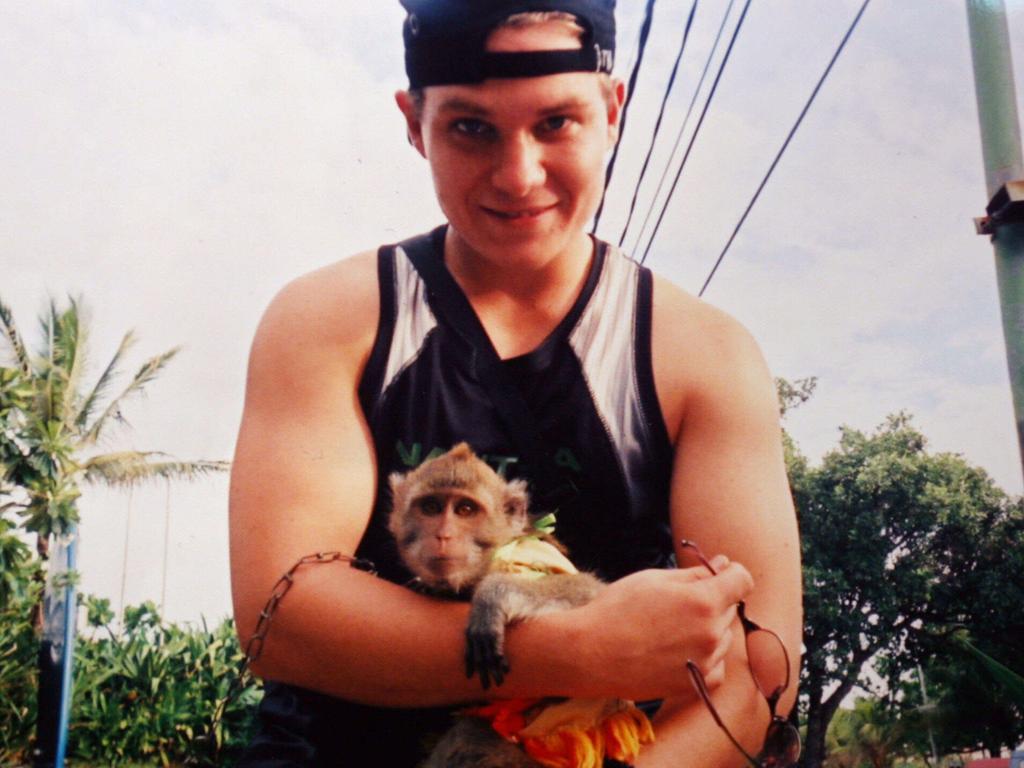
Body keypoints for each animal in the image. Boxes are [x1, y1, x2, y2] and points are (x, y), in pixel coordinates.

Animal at [387, 444, 651, 768]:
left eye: (465, 510)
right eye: (431, 508)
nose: (443, 535)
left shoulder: (524, 558)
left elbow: (589, 592)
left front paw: (492, 597)